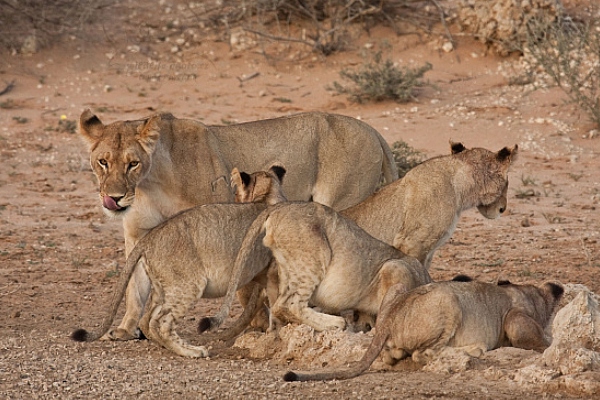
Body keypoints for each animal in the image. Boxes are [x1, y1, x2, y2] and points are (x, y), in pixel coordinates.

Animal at [70, 166, 286, 356]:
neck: (268, 198)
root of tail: (149, 237)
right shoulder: (275, 274)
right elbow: (275, 305)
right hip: (188, 285)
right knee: (161, 323)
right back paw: (192, 351)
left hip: (164, 288)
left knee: (148, 320)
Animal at [284, 276, 564, 382]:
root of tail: (389, 320)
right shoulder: (515, 317)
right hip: (449, 300)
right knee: (423, 354)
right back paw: (474, 351)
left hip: (397, 289)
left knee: (392, 355)